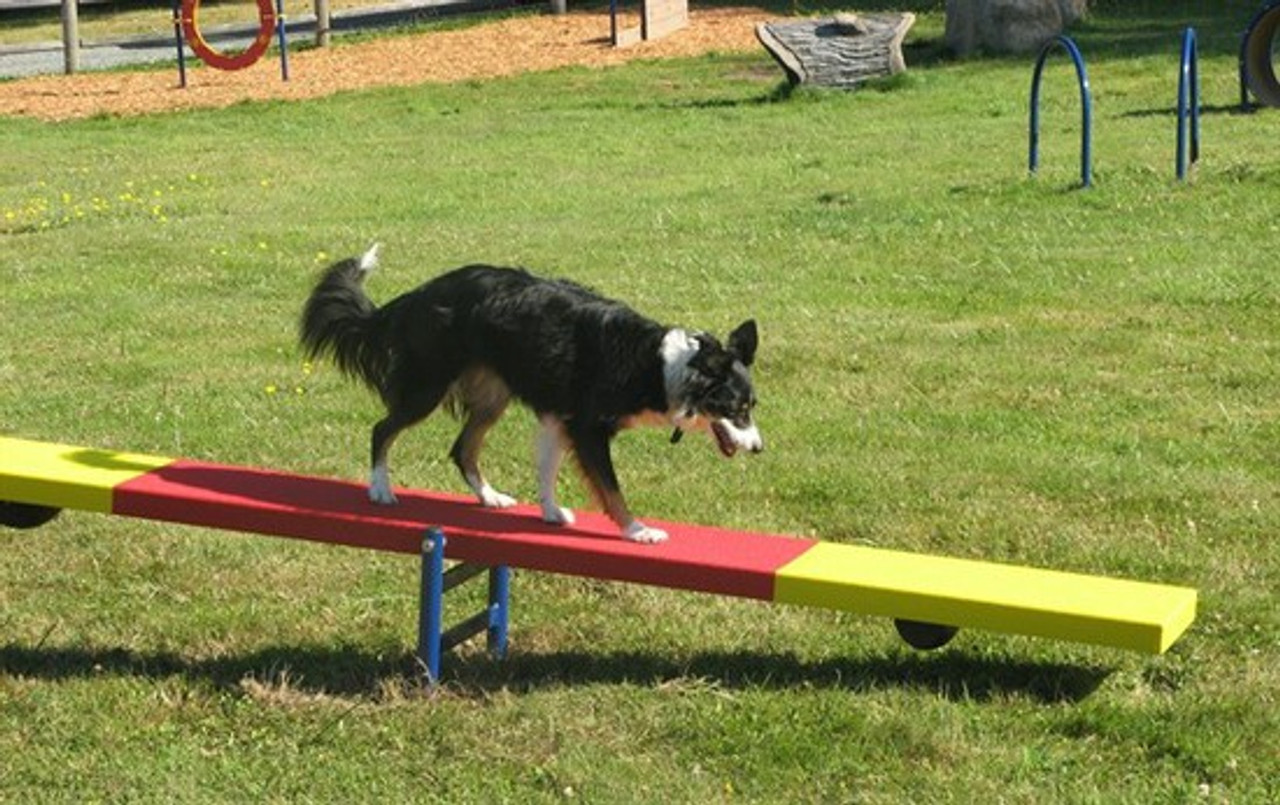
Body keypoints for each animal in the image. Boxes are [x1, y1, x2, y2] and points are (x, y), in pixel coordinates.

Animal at [299, 244, 757, 542]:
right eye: (736, 409)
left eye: (751, 407)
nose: (758, 448)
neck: (658, 364)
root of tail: (418, 295)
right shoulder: (587, 427)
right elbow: (611, 488)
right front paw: (637, 530)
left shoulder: (558, 418)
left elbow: (547, 470)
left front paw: (550, 512)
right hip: (427, 387)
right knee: (382, 429)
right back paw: (380, 489)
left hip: (492, 395)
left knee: (462, 448)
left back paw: (489, 496)